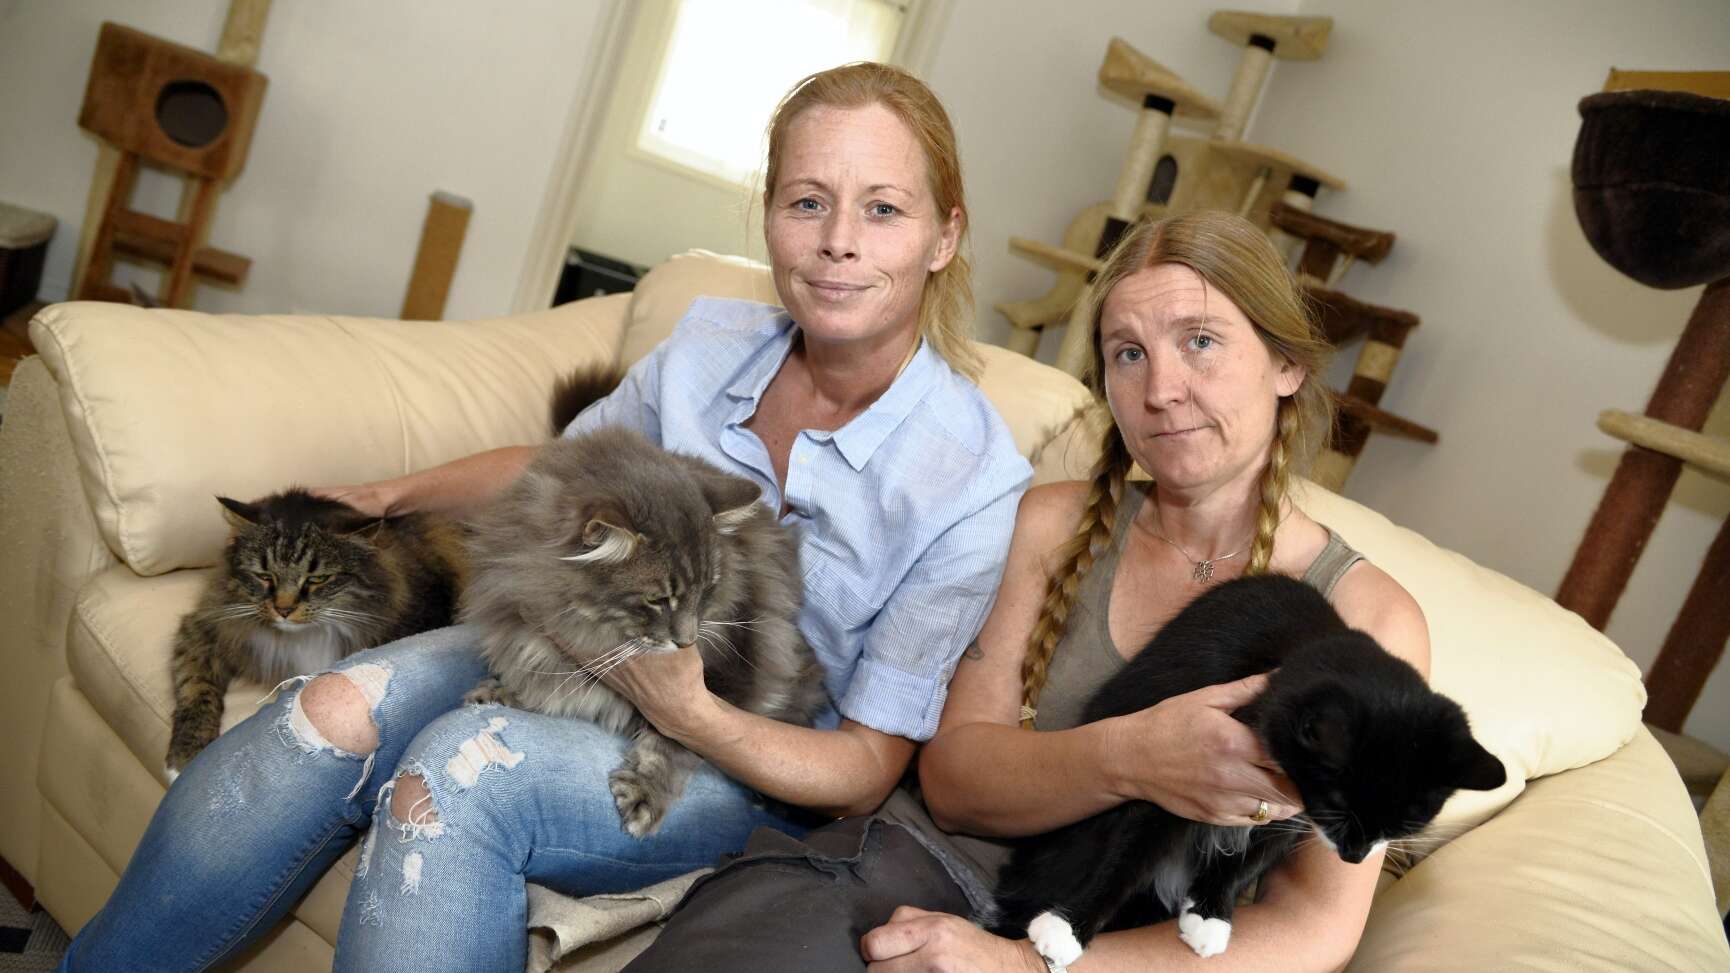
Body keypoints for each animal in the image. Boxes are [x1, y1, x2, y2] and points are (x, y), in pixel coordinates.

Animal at [166, 489, 468, 776]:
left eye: (317, 579)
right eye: (264, 576)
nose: (283, 609)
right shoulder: (205, 628)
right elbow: (195, 690)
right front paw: (182, 760)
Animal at [459, 423, 827, 838]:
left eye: (708, 590)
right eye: (659, 599)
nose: (688, 641)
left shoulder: (726, 677)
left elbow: (674, 743)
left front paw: (645, 793)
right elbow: (542, 678)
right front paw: (502, 691)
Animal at [988, 574, 1505, 965]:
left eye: (1407, 823)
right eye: (1339, 803)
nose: (1356, 856)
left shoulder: (1290, 810)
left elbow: (1254, 857)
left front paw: (1211, 913)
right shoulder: (1171, 768)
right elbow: (1130, 853)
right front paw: (1068, 929)